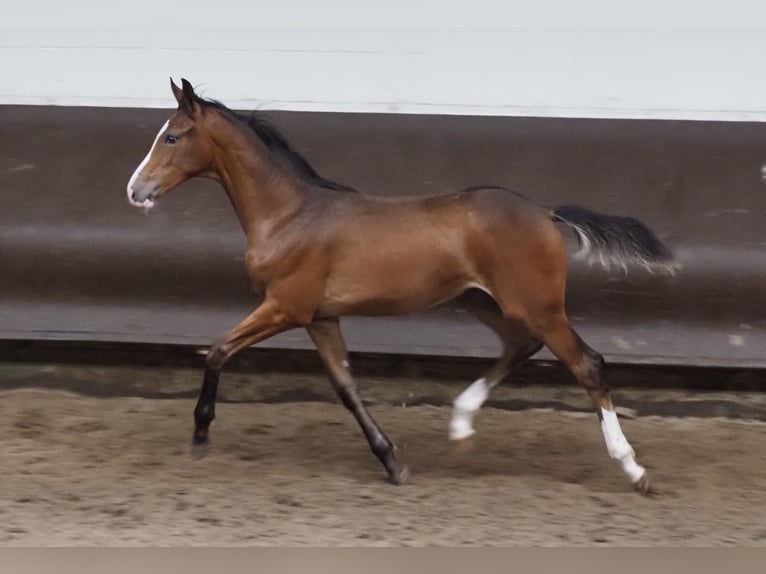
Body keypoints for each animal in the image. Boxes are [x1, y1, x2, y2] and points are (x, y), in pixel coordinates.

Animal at [126, 79, 680, 498]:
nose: (134, 190)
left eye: (172, 136)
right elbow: (346, 388)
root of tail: (545, 213)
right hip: (483, 299)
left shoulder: (285, 307)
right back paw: (461, 423)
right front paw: (393, 463)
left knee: (588, 364)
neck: (290, 214)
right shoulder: (321, 317)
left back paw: (634, 470)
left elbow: (218, 349)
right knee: (520, 345)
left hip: (537, 306)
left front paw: (200, 435)